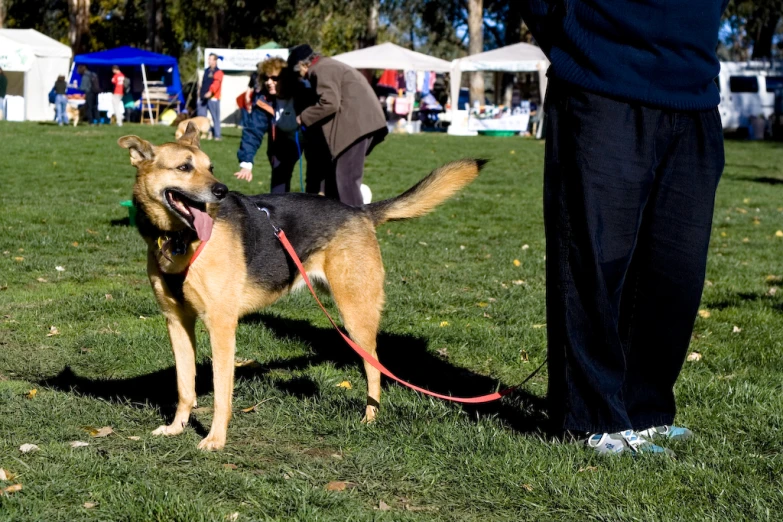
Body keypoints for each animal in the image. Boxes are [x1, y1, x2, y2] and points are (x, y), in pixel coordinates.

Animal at [117, 124, 484, 448]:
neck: (178, 238)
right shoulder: (177, 322)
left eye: (210, 167)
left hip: (355, 314)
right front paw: (177, 428)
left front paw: (216, 439)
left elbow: (222, 393)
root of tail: (359, 210)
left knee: (375, 367)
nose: (221, 190)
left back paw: (370, 417)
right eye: (184, 167)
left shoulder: (221, 325)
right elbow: (185, 387)